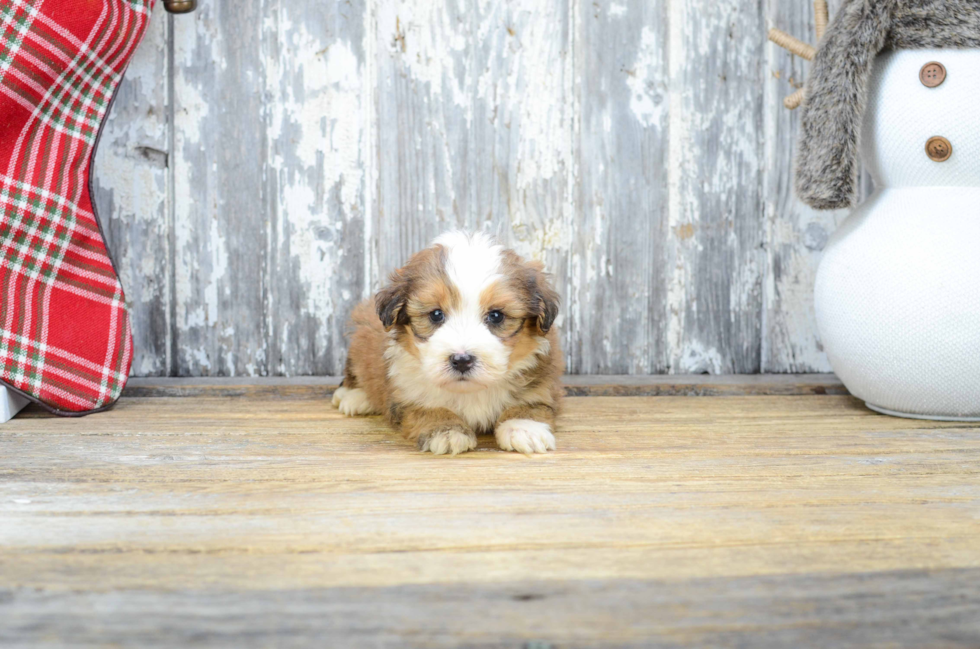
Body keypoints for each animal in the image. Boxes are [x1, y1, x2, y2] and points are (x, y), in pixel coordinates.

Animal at [334, 230, 564, 454]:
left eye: (496, 316)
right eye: (436, 315)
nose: (462, 360)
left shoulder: (542, 380)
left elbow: (532, 403)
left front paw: (524, 428)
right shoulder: (405, 392)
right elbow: (427, 408)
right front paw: (446, 431)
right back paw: (354, 397)